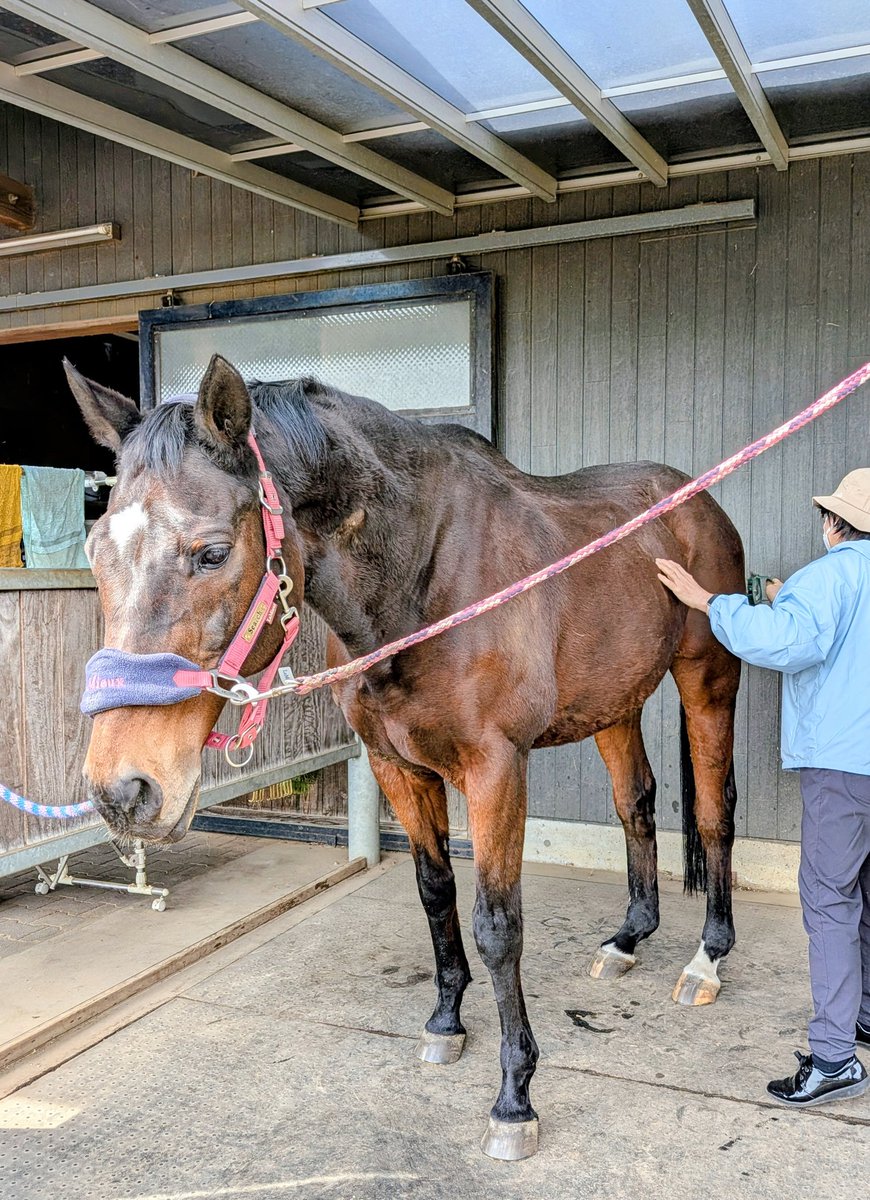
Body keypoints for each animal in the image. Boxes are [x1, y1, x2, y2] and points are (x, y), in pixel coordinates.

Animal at [66, 353, 744, 1161]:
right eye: (95, 551)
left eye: (212, 552)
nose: (124, 792)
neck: (424, 576)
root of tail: (696, 502)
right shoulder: (396, 766)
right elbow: (434, 894)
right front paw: (447, 1021)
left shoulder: (495, 769)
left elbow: (497, 926)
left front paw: (515, 1096)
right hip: (615, 703)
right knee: (635, 803)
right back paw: (628, 939)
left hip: (708, 683)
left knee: (714, 812)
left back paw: (707, 958)